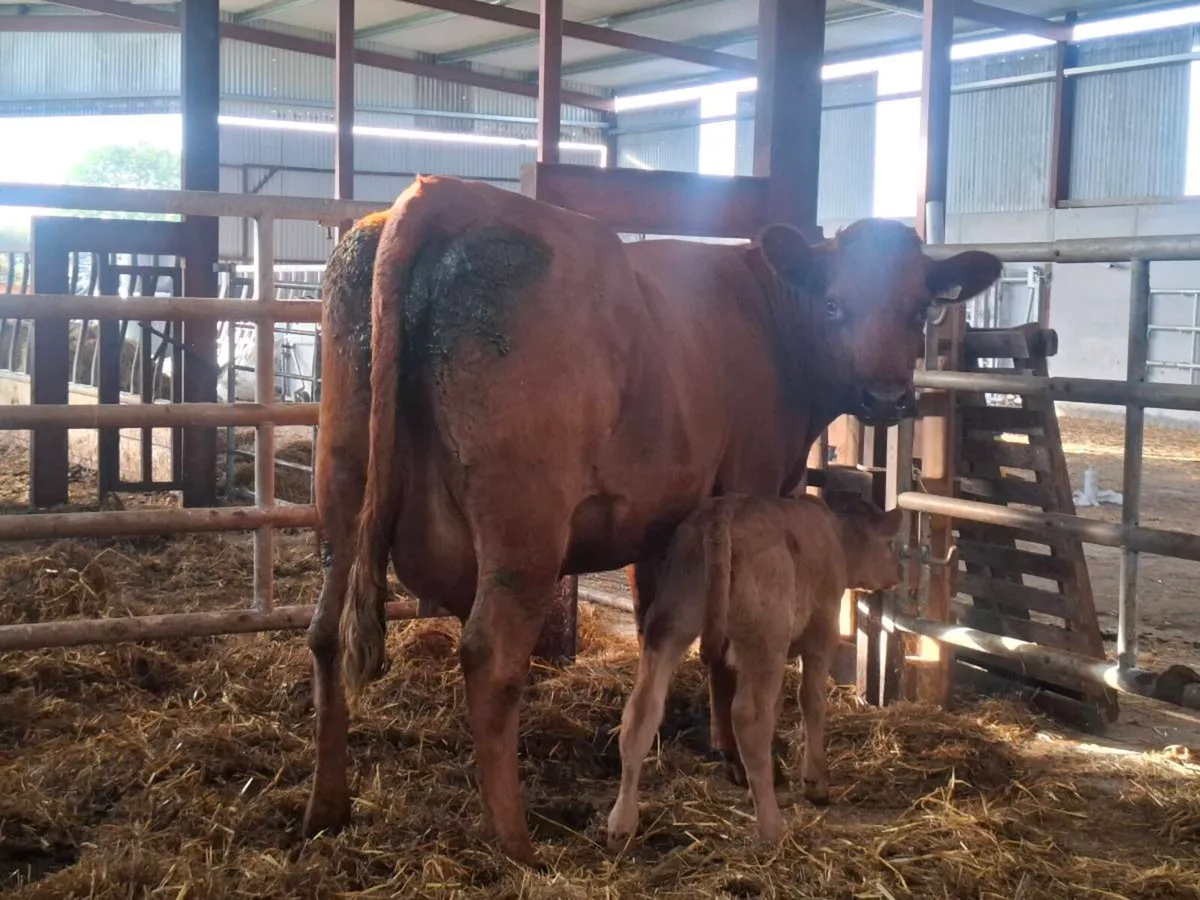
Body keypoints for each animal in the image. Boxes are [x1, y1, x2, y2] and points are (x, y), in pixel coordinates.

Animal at [606, 492, 903, 848]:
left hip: (671, 619)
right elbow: (811, 700)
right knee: (750, 718)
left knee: (641, 711)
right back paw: (772, 828)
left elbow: (776, 707)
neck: (836, 533)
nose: (899, 574)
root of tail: (720, 513)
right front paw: (815, 782)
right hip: (765, 633)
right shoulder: (822, 631)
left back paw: (621, 823)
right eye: (889, 544)